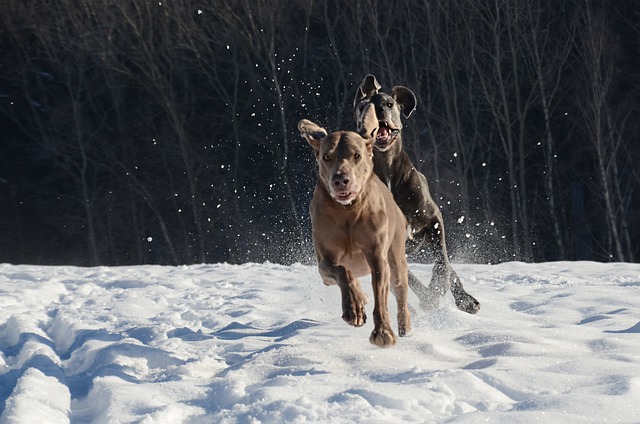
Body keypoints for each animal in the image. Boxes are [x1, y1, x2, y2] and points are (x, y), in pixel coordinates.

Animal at [298, 104, 410, 346]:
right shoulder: (324, 262)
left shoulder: (377, 255)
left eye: (356, 155)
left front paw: (383, 332)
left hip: (396, 253)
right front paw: (353, 309)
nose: (341, 179)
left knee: (400, 288)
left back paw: (405, 324)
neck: (347, 212)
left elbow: (381, 294)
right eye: (327, 157)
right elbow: (342, 272)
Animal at [356, 74, 480, 314]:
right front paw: (428, 297)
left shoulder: (433, 220)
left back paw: (464, 299)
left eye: (389, 104)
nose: (378, 111)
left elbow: (443, 263)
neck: (388, 171)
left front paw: (440, 291)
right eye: (362, 106)